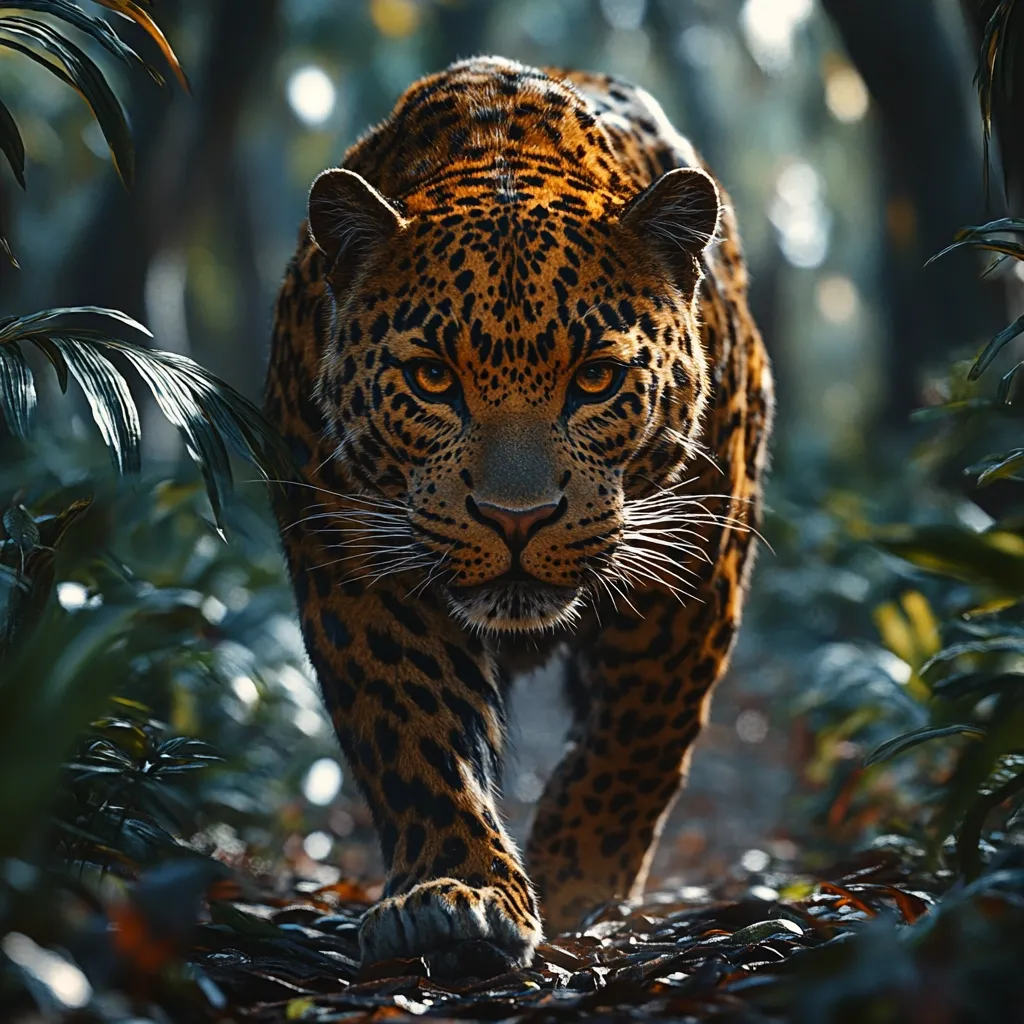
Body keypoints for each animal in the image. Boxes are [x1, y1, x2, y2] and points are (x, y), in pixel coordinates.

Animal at [264, 56, 774, 971]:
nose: (516, 519)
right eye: (432, 379)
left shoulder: (695, 563)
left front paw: (578, 882)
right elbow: (413, 727)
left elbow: (638, 737)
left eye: (597, 379)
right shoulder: (357, 563)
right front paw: (455, 895)